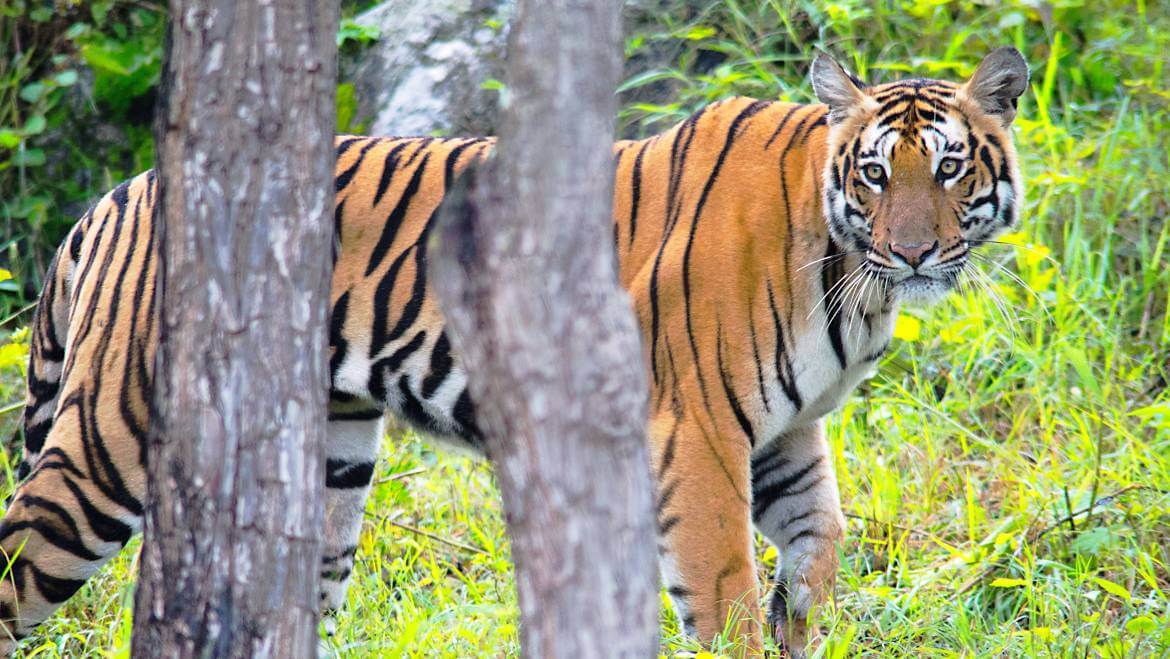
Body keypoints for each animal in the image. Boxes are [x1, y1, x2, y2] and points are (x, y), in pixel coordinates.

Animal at [0, 48, 1024, 655]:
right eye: (876, 173)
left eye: (949, 168)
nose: (915, 251)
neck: (851, 274)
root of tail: (119, 192)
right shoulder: (696, 432)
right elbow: (722, 588)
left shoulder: (784, 433)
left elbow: (820, 543)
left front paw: (799, 617)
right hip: (110, 444)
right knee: (17, 563)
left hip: (329, 462)